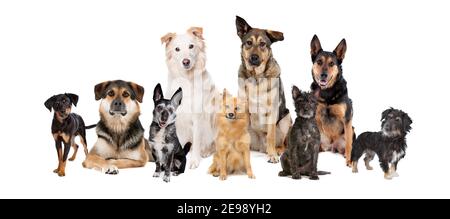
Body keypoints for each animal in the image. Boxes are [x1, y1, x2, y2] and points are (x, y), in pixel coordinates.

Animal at [162, 26, 218, 169]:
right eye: (177, 49)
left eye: (191, 46)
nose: (186, 61)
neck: (186, 79)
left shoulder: (198, 118)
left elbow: (197, 140)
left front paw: (194, 160)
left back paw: (205, 151)